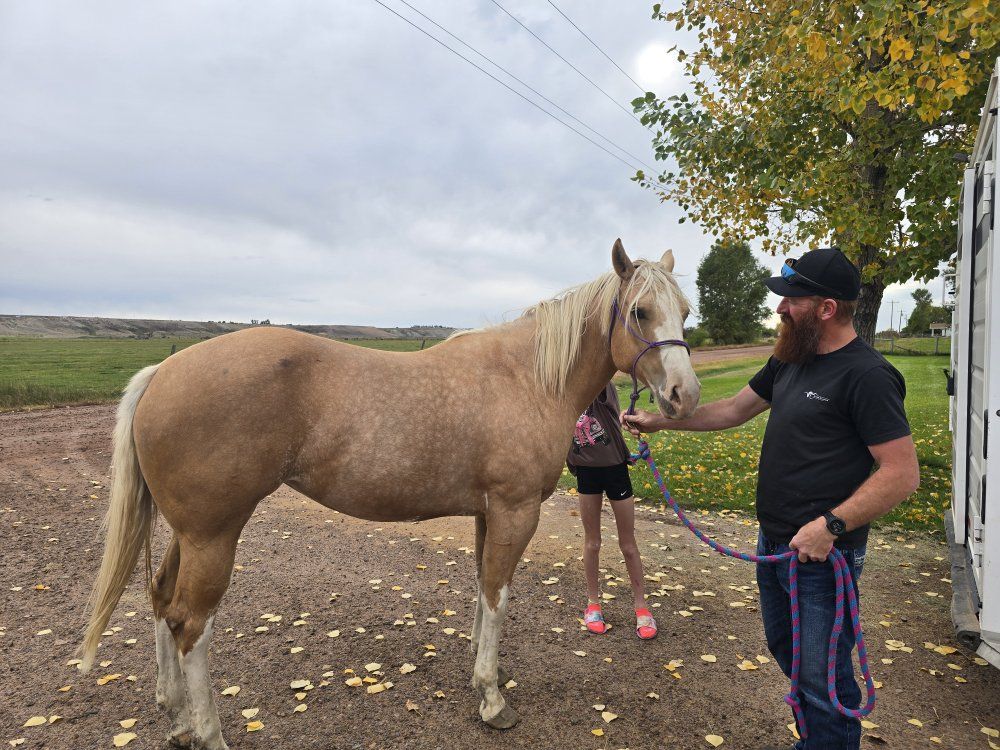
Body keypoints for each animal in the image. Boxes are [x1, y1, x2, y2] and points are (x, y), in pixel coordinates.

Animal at [79, 239, 700, 749]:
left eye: (687, 312)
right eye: (641, 311)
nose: (683, 395)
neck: (525, 376)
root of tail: (161, 374)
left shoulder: (487, 513)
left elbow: (481, 591)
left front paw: (483, 672)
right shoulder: (515, 511)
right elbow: (498, 596)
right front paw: (492, 699)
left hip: (190, 533)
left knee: (163, 601)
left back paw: (177, 716)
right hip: (214, 536)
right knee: (191, 624)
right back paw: (208, 733)